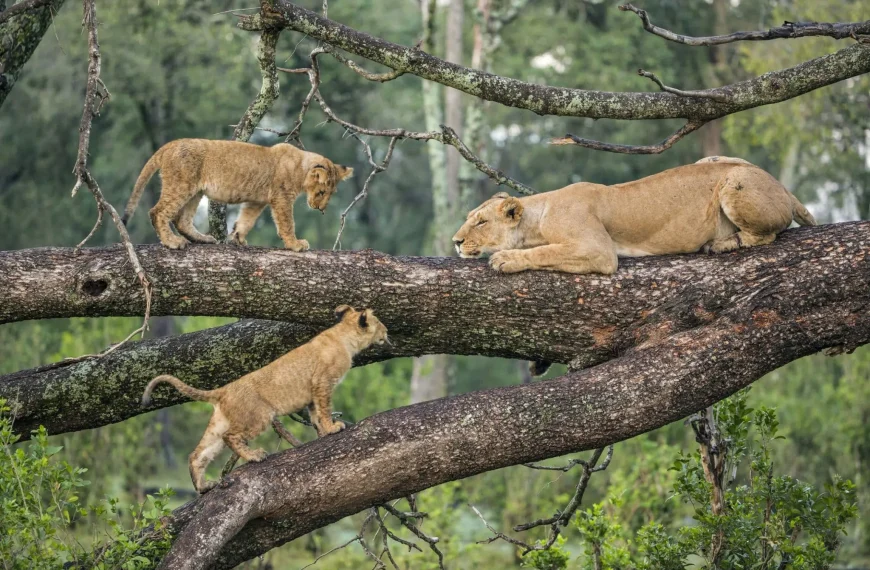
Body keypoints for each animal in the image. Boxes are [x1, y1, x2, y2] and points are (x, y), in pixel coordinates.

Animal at [122, 138, 353, 251]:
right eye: (321, 192)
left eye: (331, 194)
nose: (321, 209)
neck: (300, 166)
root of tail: (171, 144)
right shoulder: (281, 198)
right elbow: (287, 223)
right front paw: (296, 245)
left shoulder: (257, 201)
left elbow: (246, 220)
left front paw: (237, 239)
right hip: (181, 185)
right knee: (158, 212)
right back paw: (172, 242)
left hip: (195, 191)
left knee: (182, 220)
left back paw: (203, 239)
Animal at [140, 305, 388, 493]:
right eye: (379, 322)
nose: (388, 332)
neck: (344, 335)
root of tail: (224, 389)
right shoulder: (322, 382)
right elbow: (325, 409)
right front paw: (333, 428)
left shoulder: (312, 393)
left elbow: (315, 414)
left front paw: (323, 432)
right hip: (259, 416)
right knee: (232, 437)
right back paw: (254, 456)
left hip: (219, 424)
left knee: (197, 454)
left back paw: (203, 486)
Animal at [452, 157, 816, 275]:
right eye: (470, 216)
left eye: (481, 222)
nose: (455, 241)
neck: (539, 214)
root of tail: (783, 188)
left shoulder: (598, 249)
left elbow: (546, 251)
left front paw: (505, 258)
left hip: (733, 182)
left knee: (765, 235)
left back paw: (722, 243)